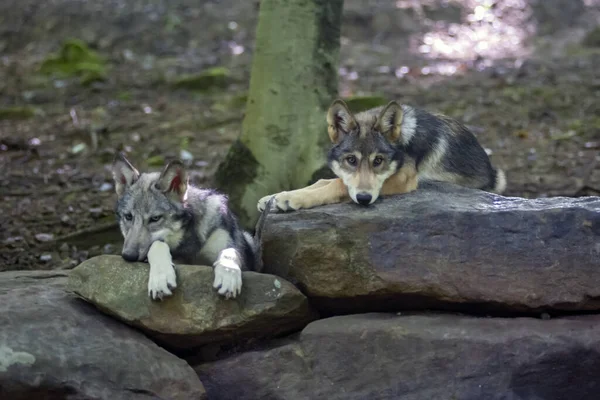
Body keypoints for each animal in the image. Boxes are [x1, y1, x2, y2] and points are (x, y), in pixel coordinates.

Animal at [112, 153, 268, 300]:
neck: (189, 242)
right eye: (128, 216)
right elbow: (157, 246)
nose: (128, 256)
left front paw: (228, 274)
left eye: (155, 218)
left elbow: (230, 251)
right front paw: (161, 279)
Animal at [258, 99, 506, 212]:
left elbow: (336, 185)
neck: (402, 143)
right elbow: (325, 181)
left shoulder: (404, 179)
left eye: (378, 161)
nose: (364, 199)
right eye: (351, 160)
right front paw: (272, 197)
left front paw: (291, 199)